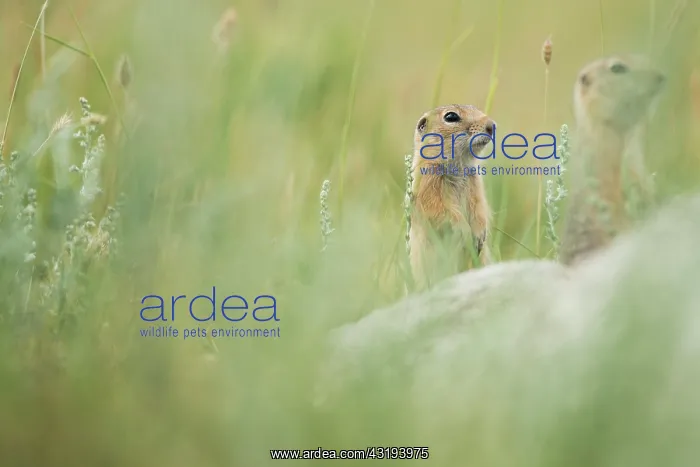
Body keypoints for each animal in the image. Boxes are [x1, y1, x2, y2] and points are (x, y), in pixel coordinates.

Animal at [408, 104, 495, 288]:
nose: (491, 126)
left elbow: (480, 208)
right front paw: (465, 232)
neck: (459, 165)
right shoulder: (428, 184)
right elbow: (440, 210)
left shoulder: (475, 184)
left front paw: (479, 234)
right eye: (451, 117)